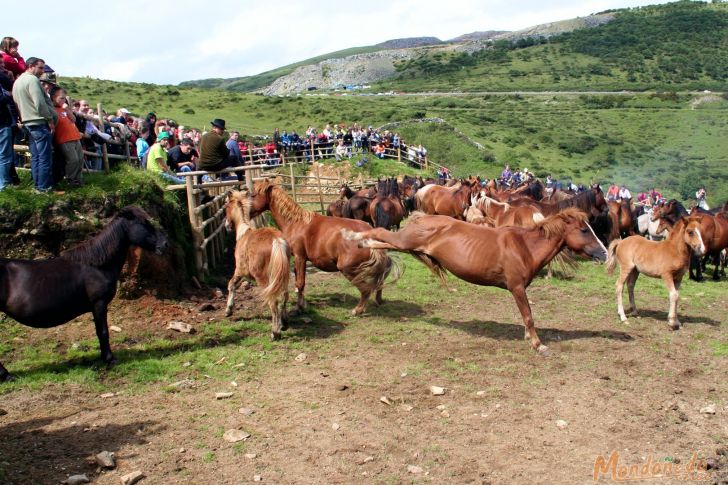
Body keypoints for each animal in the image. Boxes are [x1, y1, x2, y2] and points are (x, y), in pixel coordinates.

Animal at [0, 206, 168, 380]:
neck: (96, 266)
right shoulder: (99, 303)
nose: (165, 244)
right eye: (144, 222)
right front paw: (109, 359)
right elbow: (103, 332)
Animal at [225, 190, 290, 340]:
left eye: (226, 207)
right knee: (284, 295)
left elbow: (231, 285)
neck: (243, 233)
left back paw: (275, 333)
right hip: (282, 277)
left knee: (273, 301)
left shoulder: (240, 271)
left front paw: (228, 310)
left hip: (264, 279)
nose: (226, 225)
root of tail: (276, 240)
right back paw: (283, 324)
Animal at [344, 206, 604, 354]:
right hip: (405, 241)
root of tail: (421, 218)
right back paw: (352, 235)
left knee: (381, 242)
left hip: (406, 246)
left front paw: (529, 338)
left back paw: (362, 244)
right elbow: (528, 315)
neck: (525, 247)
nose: (603, 253)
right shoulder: (517, 287)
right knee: (379, 231)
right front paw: (538, 345)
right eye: (584, 230)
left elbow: (525, 316)